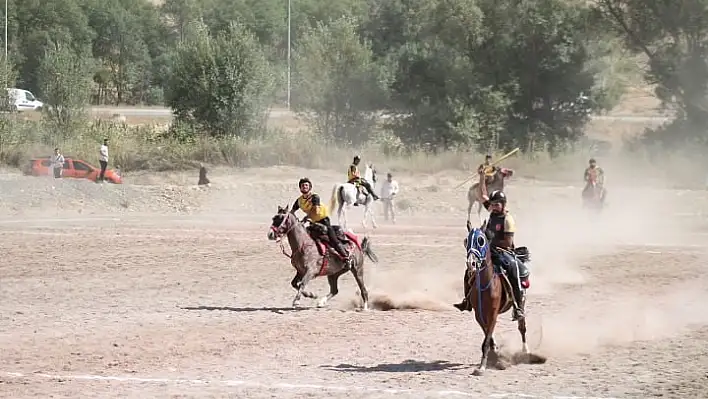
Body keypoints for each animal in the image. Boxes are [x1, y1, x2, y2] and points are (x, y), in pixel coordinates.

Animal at [462, 227, 532, 376]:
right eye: (466, 240)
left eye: (481, 240)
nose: (471, 263)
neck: (486, 284)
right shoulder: (479, 314)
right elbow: (488, 336)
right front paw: (495, 354)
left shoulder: (493, 313)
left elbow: (487, 338)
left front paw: (482, 367)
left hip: (521, 301)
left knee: (522, 326)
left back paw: (526, 350)